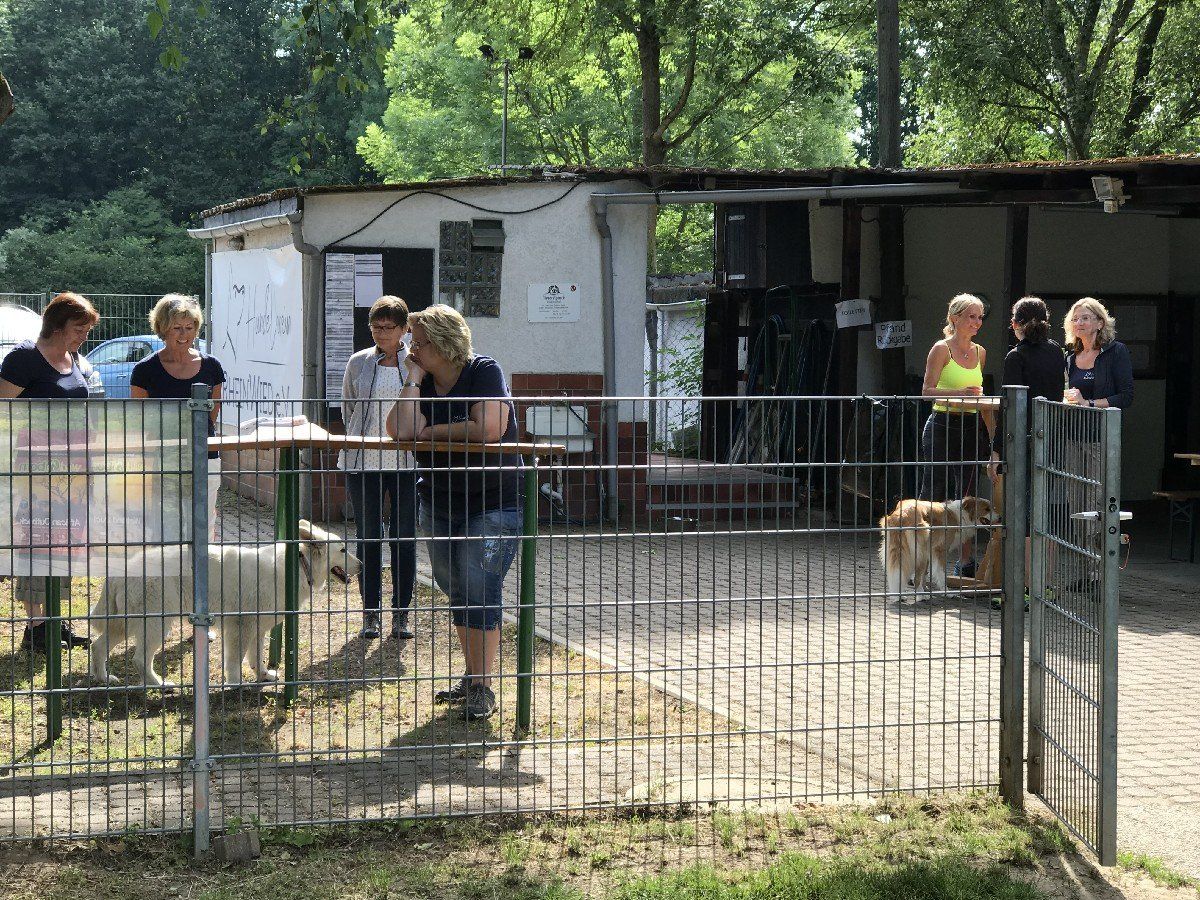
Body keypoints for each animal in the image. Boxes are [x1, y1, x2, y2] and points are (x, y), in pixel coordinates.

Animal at [88, 520, 361, 688]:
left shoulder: (257, 629)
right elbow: (235, 660)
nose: (362, 565)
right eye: (343, 550)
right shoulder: (241, 627)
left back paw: (103, 678)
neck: (299, 565)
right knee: (139, 659)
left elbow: (256, 657)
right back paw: (159, 684)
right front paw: (235, 682)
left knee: (97, 646)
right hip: (156, 625)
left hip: (124, 625)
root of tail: (125, 567)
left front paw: (263, 676)